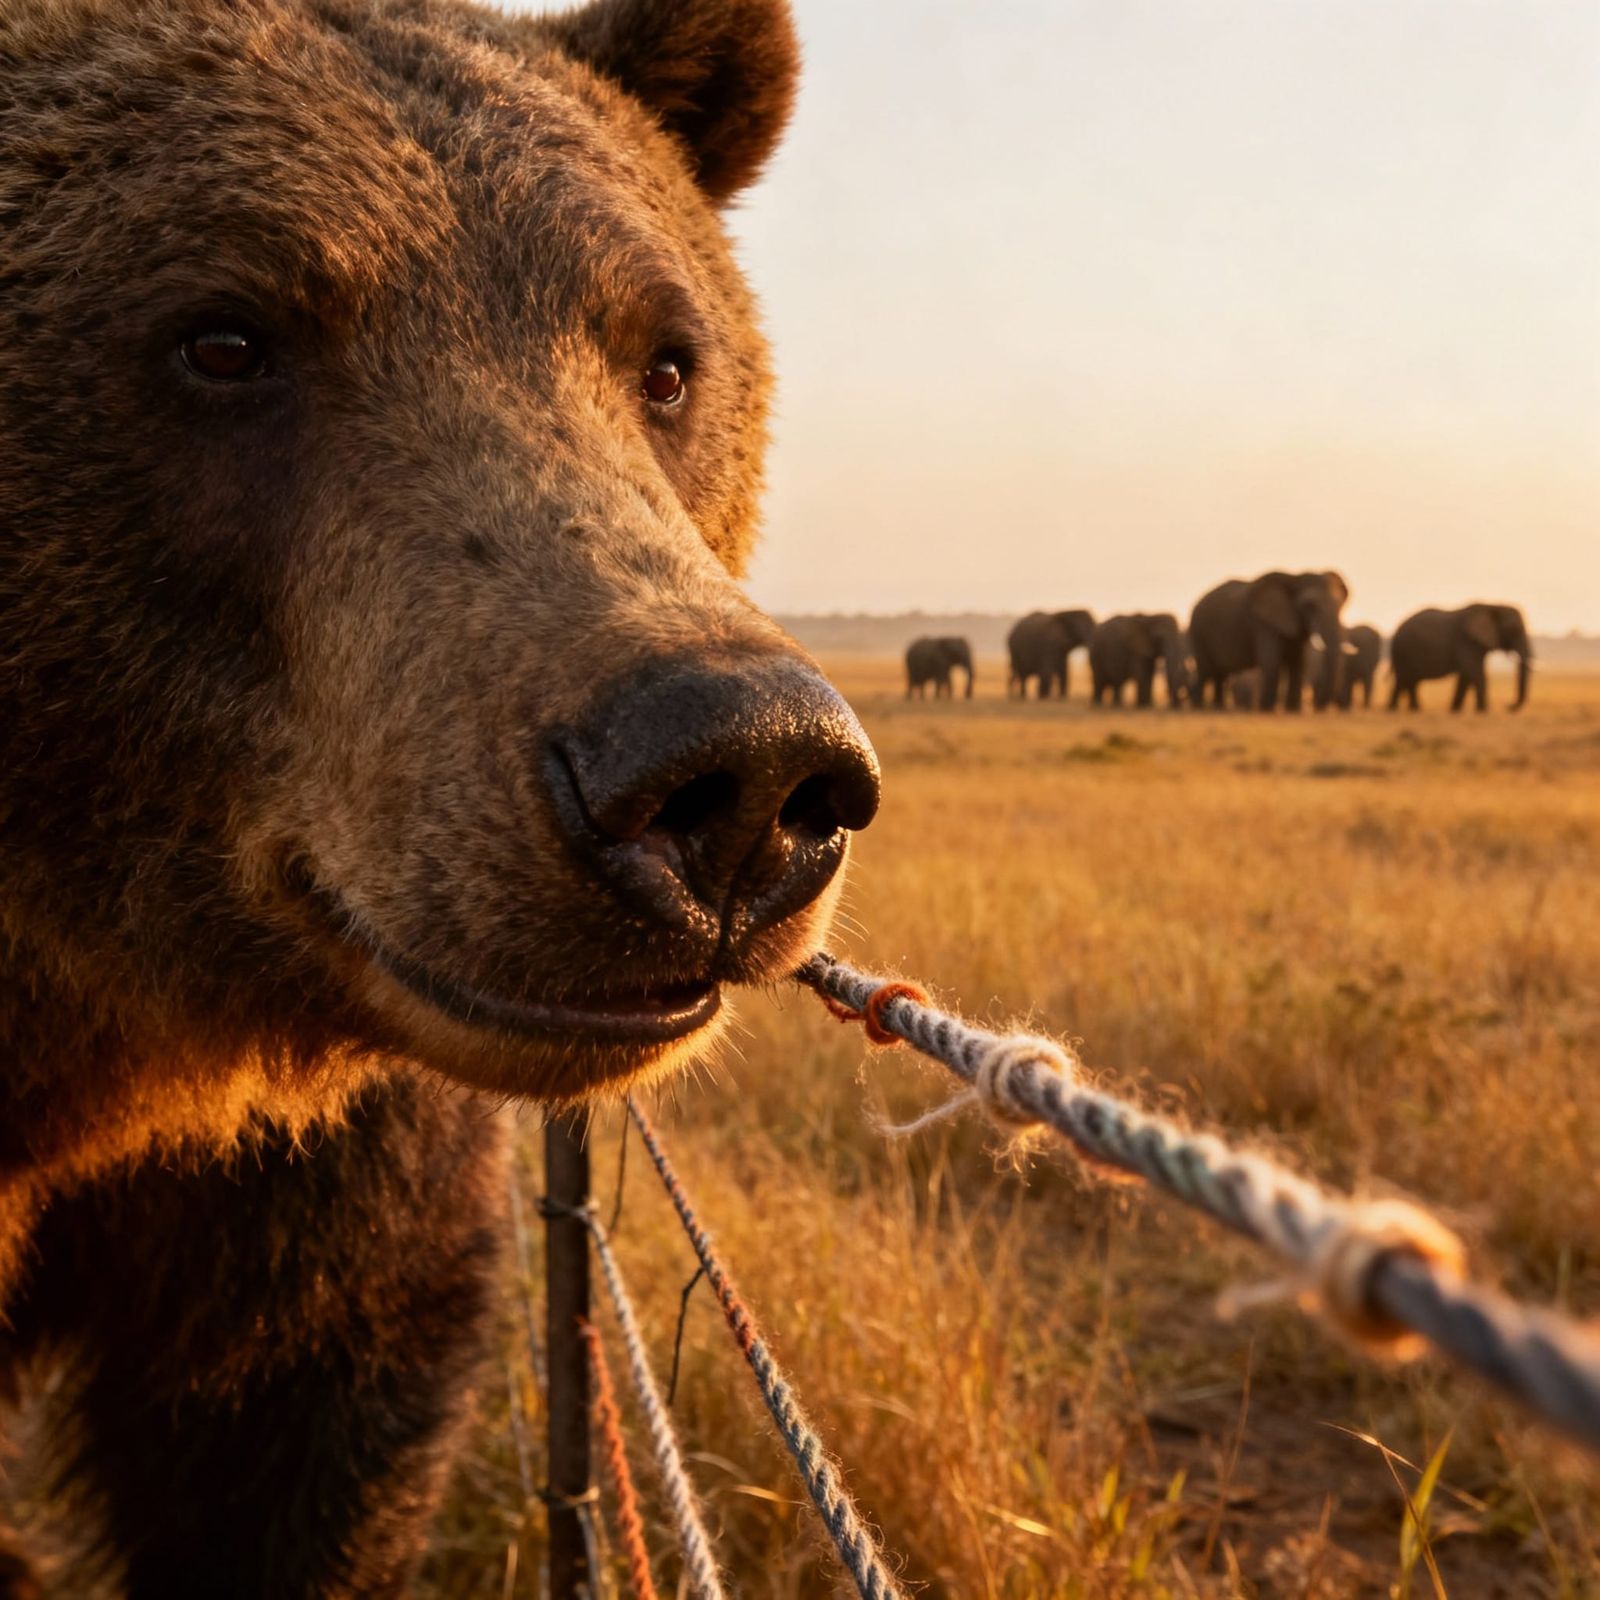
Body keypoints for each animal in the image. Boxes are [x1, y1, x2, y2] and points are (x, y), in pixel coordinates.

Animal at [1188, 571, 1350, 711]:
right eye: (1309, 606)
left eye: (1340, 605)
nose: (1318, 707)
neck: (1294, 579)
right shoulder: (1262, 624)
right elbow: (1271, 661)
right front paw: (1266, 709)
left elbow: (1299, 663)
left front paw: (1293, 710)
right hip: (1198, 631)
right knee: (1205, 672)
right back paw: (1200, 708)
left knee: (1220, 674)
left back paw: (1218, 707)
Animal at [1388, 603, 1530, 712]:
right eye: (1514, 629)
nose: (1508, 706)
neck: (1492, 606)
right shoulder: (1466, 641)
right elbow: (1475, 672)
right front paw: (1483, 712)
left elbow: (1466, 676)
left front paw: (1455, 711)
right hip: (1402, 652)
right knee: (1405, 679)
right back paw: (1404, 710)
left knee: (1407, 681)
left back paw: (1405, 709)